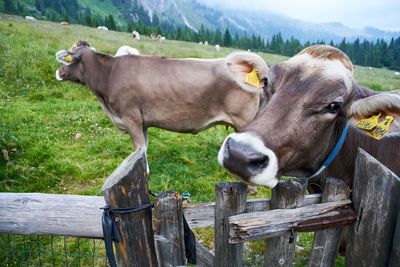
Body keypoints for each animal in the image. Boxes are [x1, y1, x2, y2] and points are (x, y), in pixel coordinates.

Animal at [55, 40, 268, 159]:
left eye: (67, 58)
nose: (58, 72)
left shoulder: (131, 117)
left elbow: (139, 148)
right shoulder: (142, 121)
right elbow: (142, 151)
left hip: (245, 121)